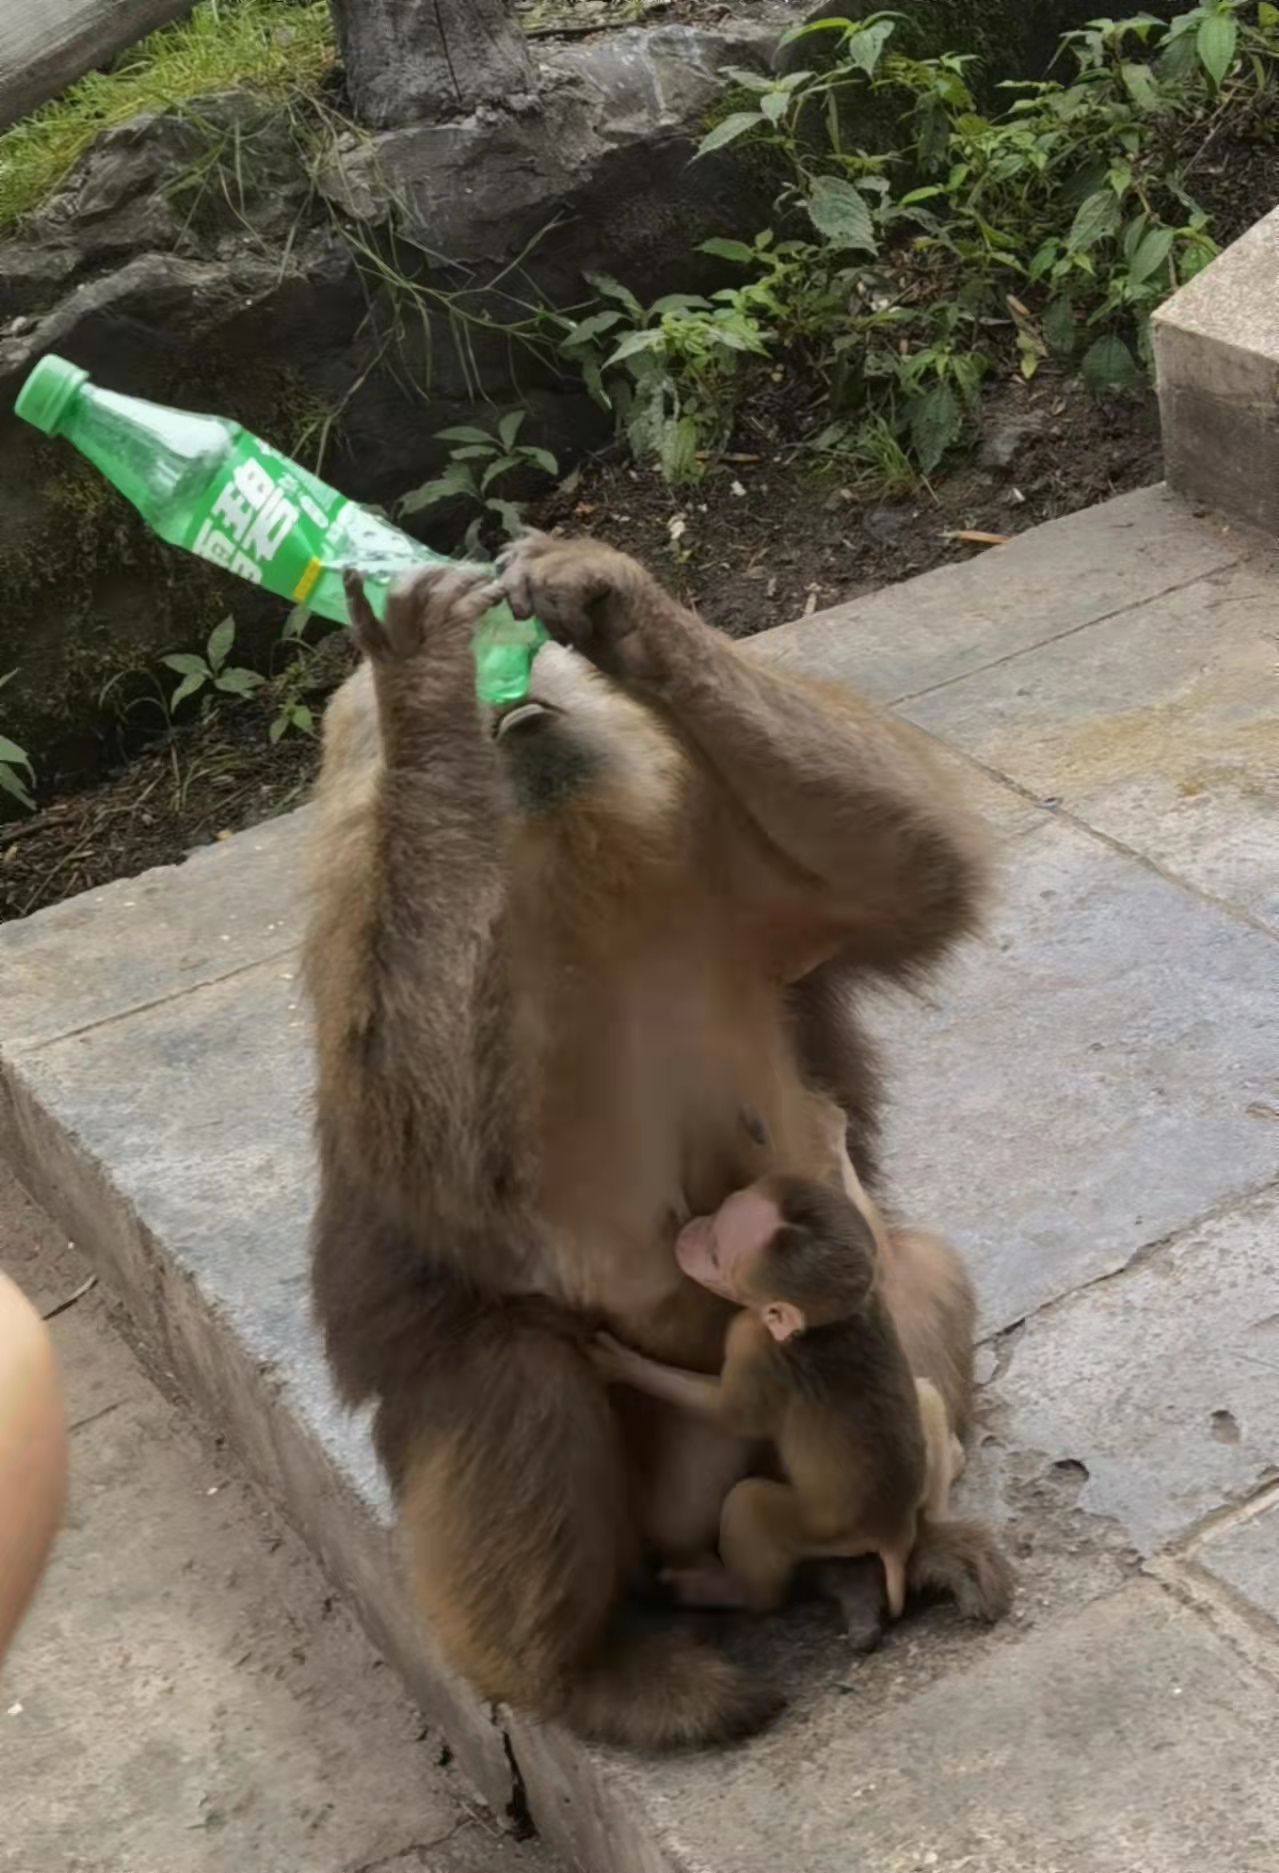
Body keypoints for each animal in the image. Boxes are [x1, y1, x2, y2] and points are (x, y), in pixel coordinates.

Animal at [592, 1175, 1004, 1623]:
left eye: (716, 1253)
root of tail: (894, 1538)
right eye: (723, 1208)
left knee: (748, 1508)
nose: (687, 1232)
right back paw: (944, 1487)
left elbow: (728, 1414)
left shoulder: (748, 1338)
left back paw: (726, 1590)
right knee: (925, 1394)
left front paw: (624, 1364)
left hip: (825, 1533)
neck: (824, 1323)